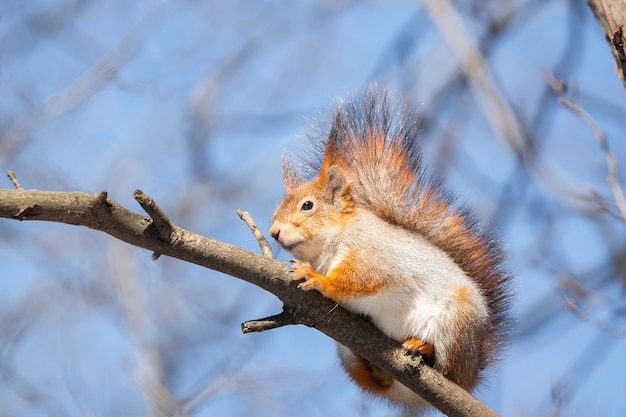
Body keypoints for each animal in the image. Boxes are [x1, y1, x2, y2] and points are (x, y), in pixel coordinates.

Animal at [270, 85, 512, 410]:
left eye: (307, 206)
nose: (273, 232)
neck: (329, 244)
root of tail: (471, 375)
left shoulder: (375, 253)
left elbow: (362, 277)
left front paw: (316, 278)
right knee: (379, 380)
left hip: (457, 323)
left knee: (447, 371)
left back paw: (423, 348)